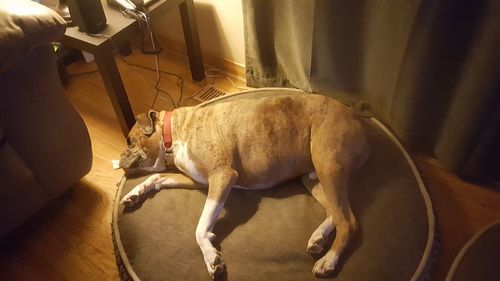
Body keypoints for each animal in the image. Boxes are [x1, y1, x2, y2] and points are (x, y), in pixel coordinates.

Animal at [115, 93, 370, 276]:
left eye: (129, 141)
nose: (119, 158)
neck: (173, 134)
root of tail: (357, 118)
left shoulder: (222, 177)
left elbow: (200, 227)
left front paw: (211, 256)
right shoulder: (199, 181)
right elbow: (155, 178)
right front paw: (134, 193)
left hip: (328, 166)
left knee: (348, 221)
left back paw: (328, 260)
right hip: (313, 179)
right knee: (337, 212)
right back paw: (318, 238)